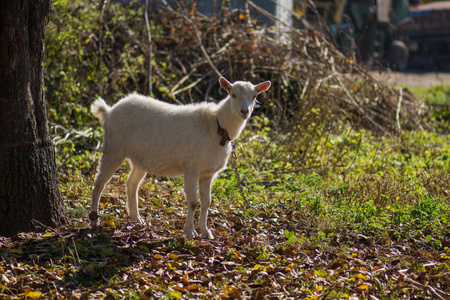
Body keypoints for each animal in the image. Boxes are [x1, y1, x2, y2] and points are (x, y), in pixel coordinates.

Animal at [89, 77, 268, 239]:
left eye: (254, 96)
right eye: (233, 94)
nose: (244, 111)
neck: (216, 126)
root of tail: (109, 112)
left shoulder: (208, 173)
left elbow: (207, 202)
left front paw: (205, 231)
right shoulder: (191, 167)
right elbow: (193, 202)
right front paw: (189, 232)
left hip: (138, 159)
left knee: (131, 184)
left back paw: (137, 219)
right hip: (114, 148)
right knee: (99, 183)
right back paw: (94, 220)